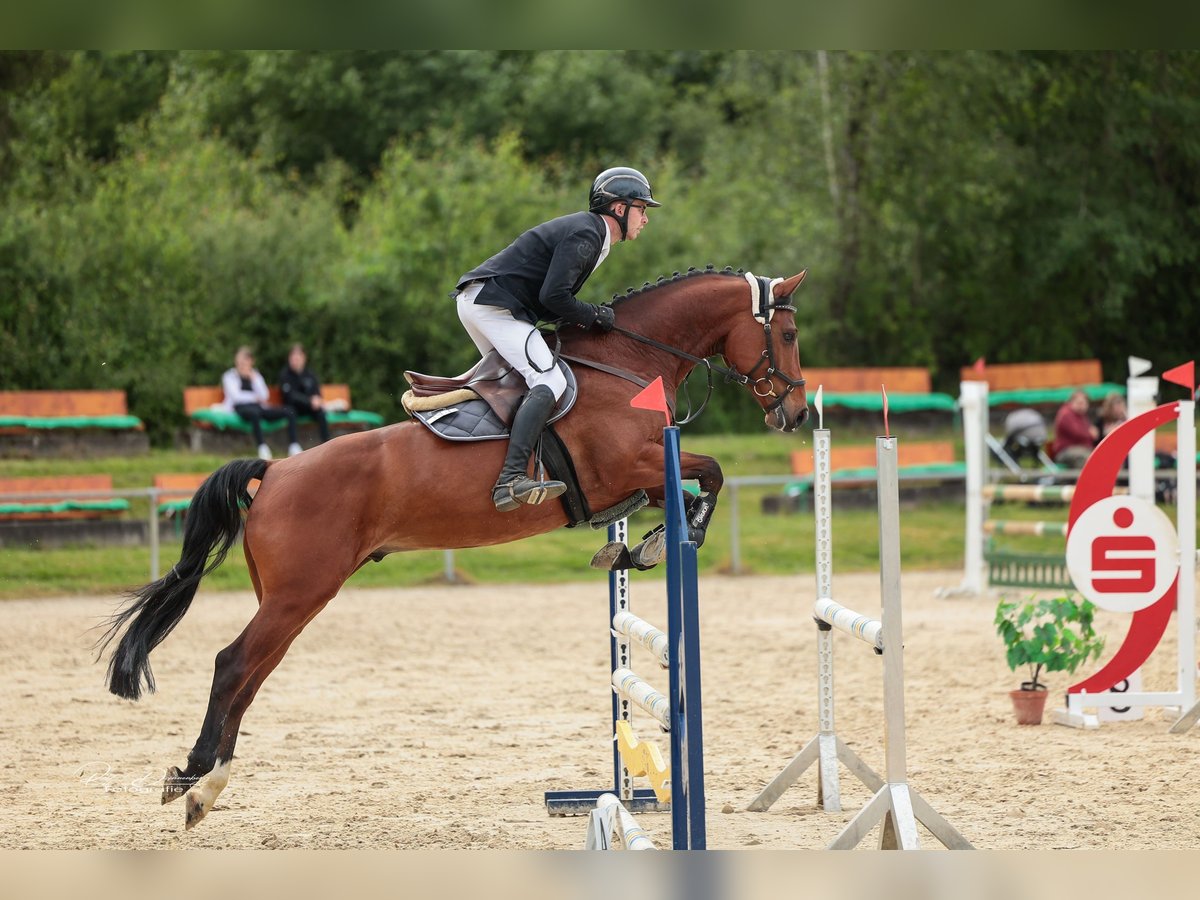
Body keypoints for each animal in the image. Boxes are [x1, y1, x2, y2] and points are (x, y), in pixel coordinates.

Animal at [98, 266, 811, 830]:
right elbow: (711, 473)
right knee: (233, 665)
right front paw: (661, 544)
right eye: (789, 336)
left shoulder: (636, 482)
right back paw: (195, 780)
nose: (797, 415)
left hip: (290, 598)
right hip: (300, 592)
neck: (627, 366)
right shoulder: (630, 468)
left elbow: (700, 482)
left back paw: (204, 787)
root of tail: (274, 472)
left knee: (252, 675)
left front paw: (637, 550)